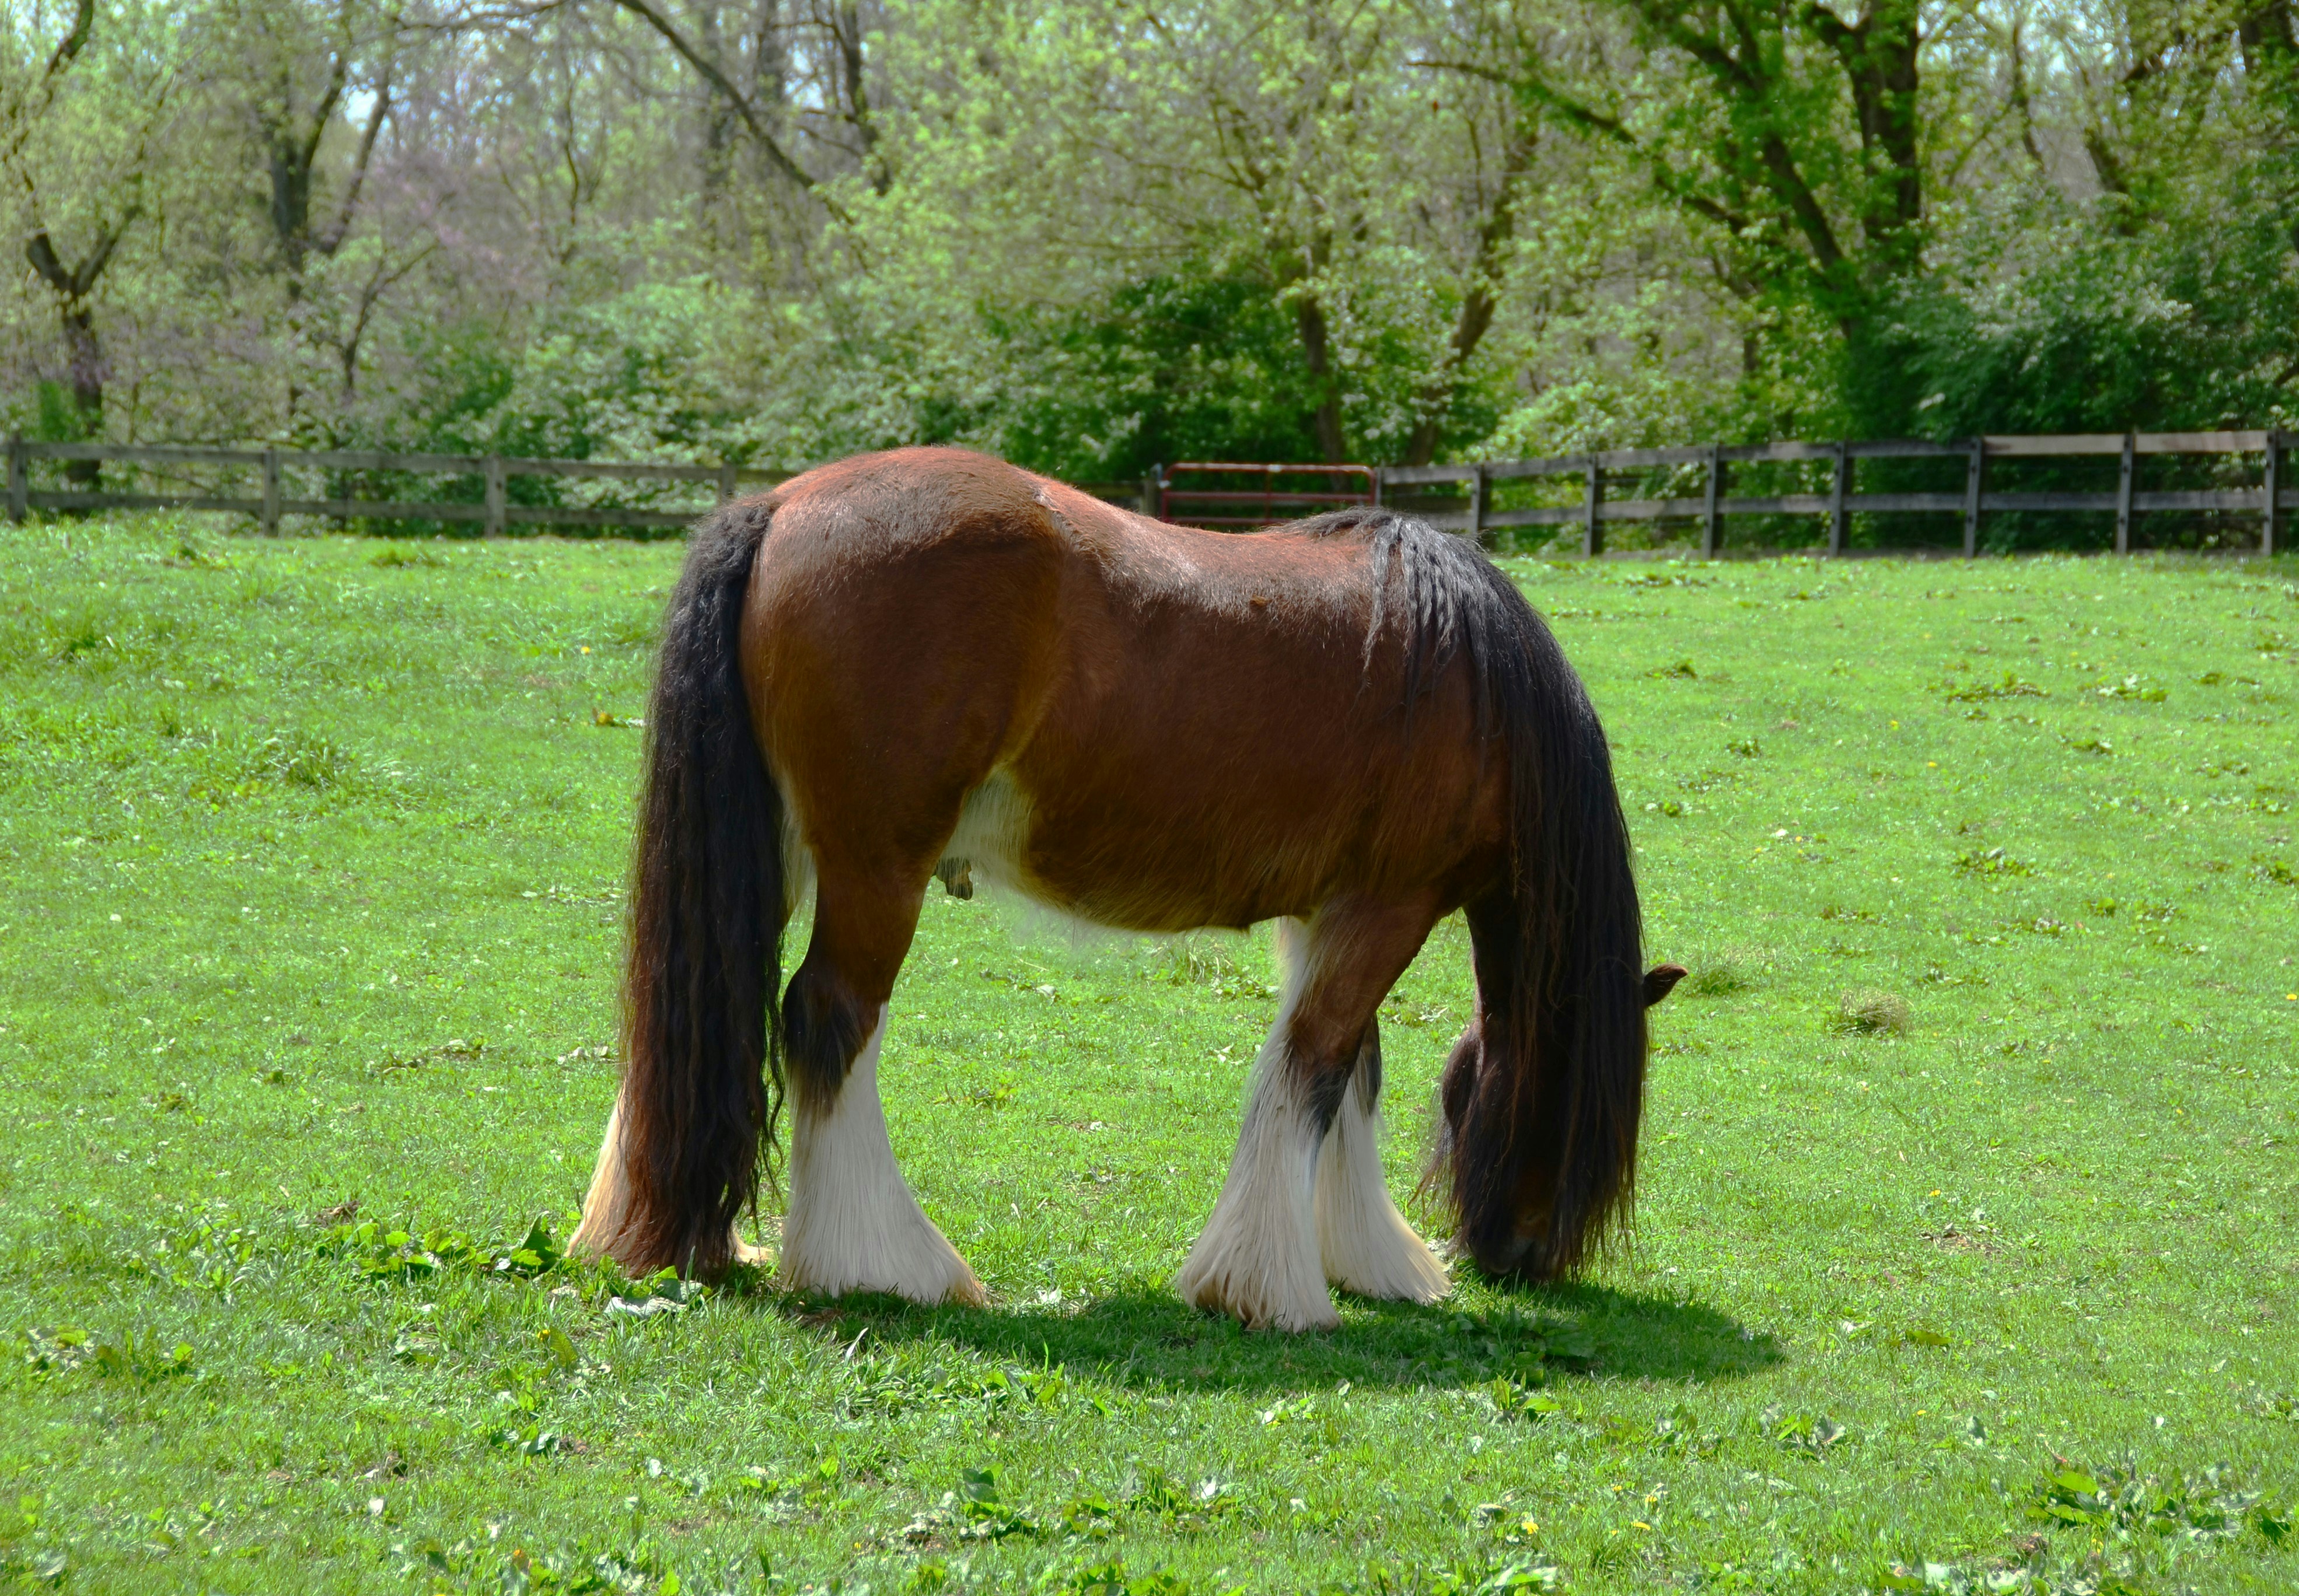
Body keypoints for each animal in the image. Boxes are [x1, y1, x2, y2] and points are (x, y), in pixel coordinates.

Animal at [568, 446, 1683, 1331]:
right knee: (827, 1020)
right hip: (876, 869)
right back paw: (883, 1264)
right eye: (1582, 1116)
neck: (1474, 686)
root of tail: (781, 507)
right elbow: (1316, 1072)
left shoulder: (1329, 913)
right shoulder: (1389, 909)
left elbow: (1352, 1075)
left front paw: (1368, 1260)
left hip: (787, 855)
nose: (1527, 1258)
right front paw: (1269, 1289)